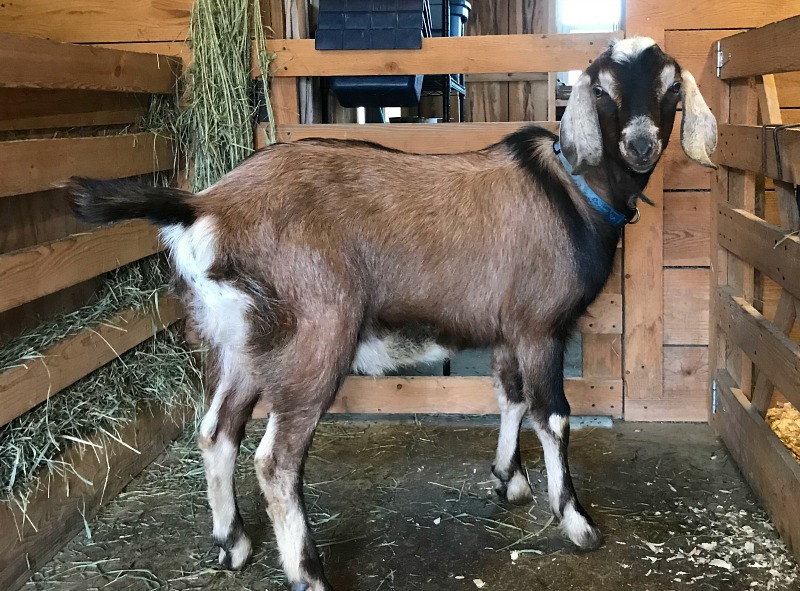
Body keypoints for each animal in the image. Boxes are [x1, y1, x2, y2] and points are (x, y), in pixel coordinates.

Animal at [65, 37, 716, 591]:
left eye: (671, 88)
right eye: (601, 89)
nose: (640, 145)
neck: (574, 191)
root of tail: (206, 206)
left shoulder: (507, 328)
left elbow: (508, 398)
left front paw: (509, 482)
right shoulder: (539, 327)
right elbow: (551, 414)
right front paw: (577, 523)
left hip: (247, 341)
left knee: (216, 431)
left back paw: (234, 544)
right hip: (314, 335)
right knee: (276, 460)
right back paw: (308, 574)